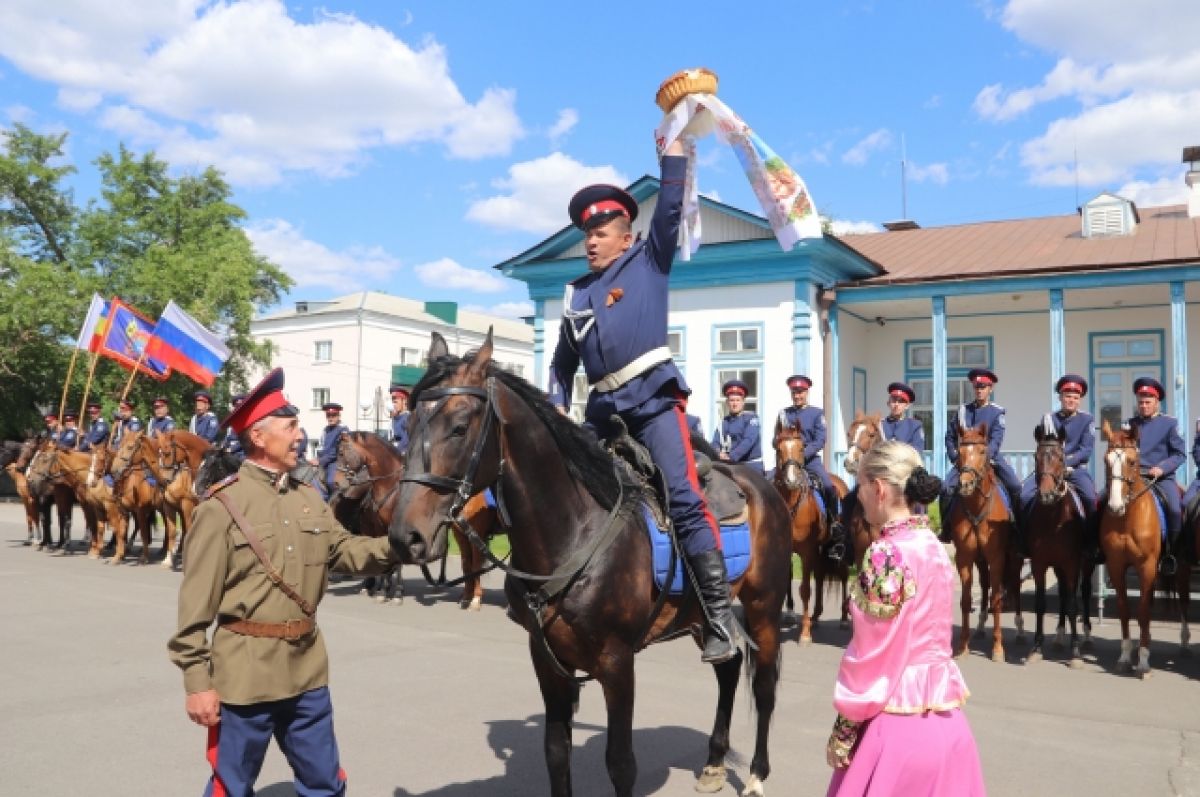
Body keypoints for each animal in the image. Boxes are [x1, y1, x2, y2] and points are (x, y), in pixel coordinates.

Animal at [388, 331, 792, 797]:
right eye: (409, 426)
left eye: (458, 427)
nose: (405, 536)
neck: (573, 531)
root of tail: (762, 484)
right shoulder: (547, 661)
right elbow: (555, 753)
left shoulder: (617, 664)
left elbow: (620, 763)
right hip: (701, 619)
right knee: (727, 671)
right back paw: (712, 763)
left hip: (764, 609)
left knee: (764, 687)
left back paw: (757, 774)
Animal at [772, 422, 849, 643]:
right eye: (778, 449)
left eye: (801, 447)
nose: (791, 480)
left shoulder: (806, 552)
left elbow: (805, 589)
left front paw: (804, 634)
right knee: (821, 576)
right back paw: (815, 616)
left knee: (843, 575)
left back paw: (842, 618)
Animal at [945, 422, 1012, 657]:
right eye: (959, 452)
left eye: (983, 451)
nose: (965, 484)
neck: (977, 507)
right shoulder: (964, 558)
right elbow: (966, 600)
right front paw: (963, 644)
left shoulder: (998, 558)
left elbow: (997, 599)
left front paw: (998, 647)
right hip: (980, 560)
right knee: (983, 585)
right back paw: (981, 626)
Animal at [1022, 422, 1089, 667]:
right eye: (1036, 457)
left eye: (1061, 457)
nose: (1047, 494)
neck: (1053, 518)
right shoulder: (1039, 564)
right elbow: (1041, 604)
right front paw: (1036, 647)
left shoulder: (1072, 564)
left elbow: (1072, 605)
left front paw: (1076, 652)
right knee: (1061, 594)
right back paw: (1060, 636)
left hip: (1083, 566)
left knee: (1082, 594)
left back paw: (1086, 636)